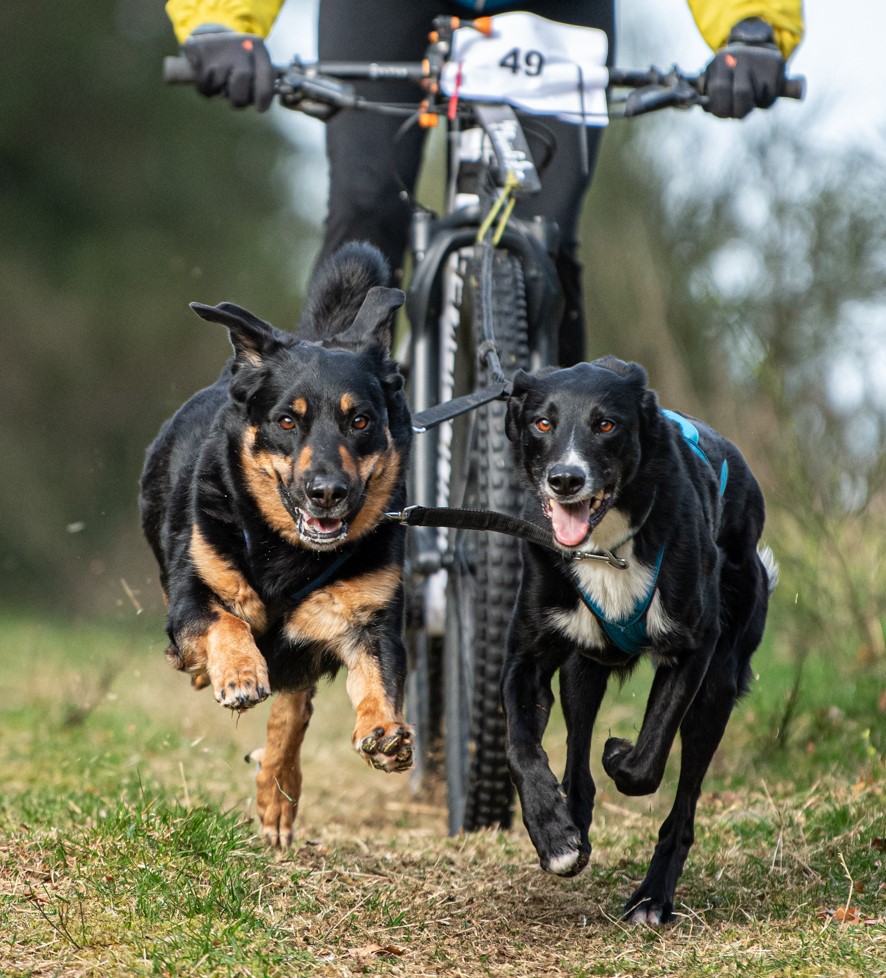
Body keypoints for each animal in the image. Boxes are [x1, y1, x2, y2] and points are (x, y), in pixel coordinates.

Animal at [140, 244, 414, 848]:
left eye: (361, 420)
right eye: (288, 421)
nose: (328, 493)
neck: (289, 553)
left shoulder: (370, 621)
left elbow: (377, 678)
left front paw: (383, 729)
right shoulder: (193, 596)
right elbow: (226, 621)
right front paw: (240, 673)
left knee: (293, 710)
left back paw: (277, 792)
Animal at [506, 356, 776, 924]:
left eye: (606, 424)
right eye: (542, 422)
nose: (565, 479)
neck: (605, 547)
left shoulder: (694, 648)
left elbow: (646, 761)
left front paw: (619, 754)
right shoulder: (527, 659)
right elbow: (521, 746)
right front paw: (553, 835)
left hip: (717, 689)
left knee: (684, 804)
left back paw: (653, 898)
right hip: (583, 669)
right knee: (577, 757)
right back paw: (574, 822)